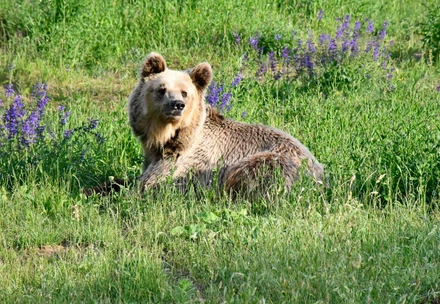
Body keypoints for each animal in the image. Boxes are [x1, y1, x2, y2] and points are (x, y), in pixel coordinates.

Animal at [125, 52, 324, 195]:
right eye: (162, 89)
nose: (177, 105)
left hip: (273, 162)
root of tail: (319, 173)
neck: (168, 137)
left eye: (184, 92)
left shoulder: (187, 161)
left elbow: (153, 183)